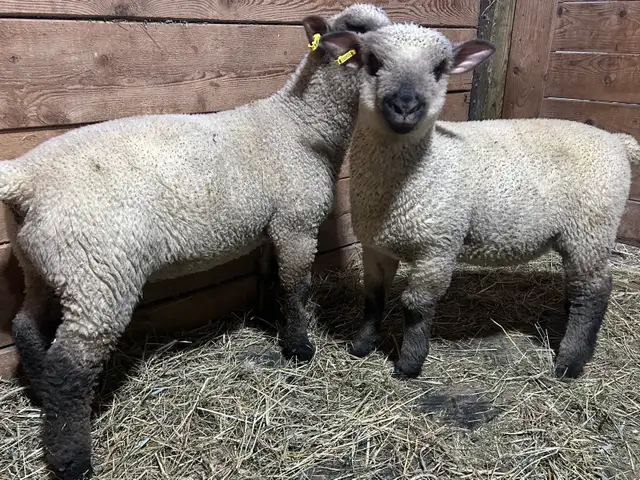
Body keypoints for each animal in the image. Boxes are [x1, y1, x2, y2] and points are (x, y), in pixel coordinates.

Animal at [0, 5, 391, 479]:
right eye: (358, 29)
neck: (299, 127)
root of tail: (25, 180)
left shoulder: (270, 226)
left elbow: (270, 277)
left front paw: (267, 318)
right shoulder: (296, 224)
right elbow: (297, 288)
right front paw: (298, 347)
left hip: (41, 264)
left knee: (25, 324)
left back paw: (38, 391)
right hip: (98, 273)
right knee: (69, 370)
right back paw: (72, 458)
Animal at [317, 24, 640, 380]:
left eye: (440, 69)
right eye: (373, 62)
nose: (405, 106)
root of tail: (618, 142)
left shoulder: (438, 248)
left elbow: (416, 307)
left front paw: (408, 365)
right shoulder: (376, 246)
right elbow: (373, 299)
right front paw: (361, 347)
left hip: (592, 226)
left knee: (594, 291)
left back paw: (570, 362)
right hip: (579, 233)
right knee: (579, 283)